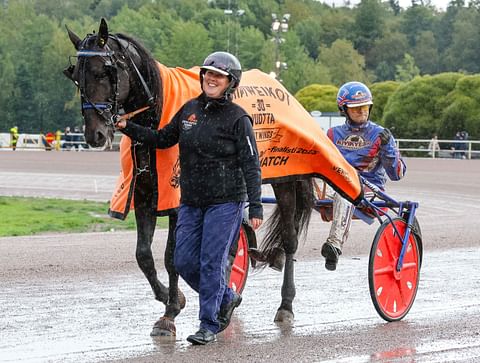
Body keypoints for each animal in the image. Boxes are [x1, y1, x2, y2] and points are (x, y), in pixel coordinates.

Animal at [63, 18, 316, 334]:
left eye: (102, 72)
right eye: (75, 77)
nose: (94, 135)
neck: (157, 112)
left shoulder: (176, 202)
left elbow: (172, 257)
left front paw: (170, 312)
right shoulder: (145, 195)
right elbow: (143, 255)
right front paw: (172, 296)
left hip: (285, 181)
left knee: (289, 239)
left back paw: (285, 305)